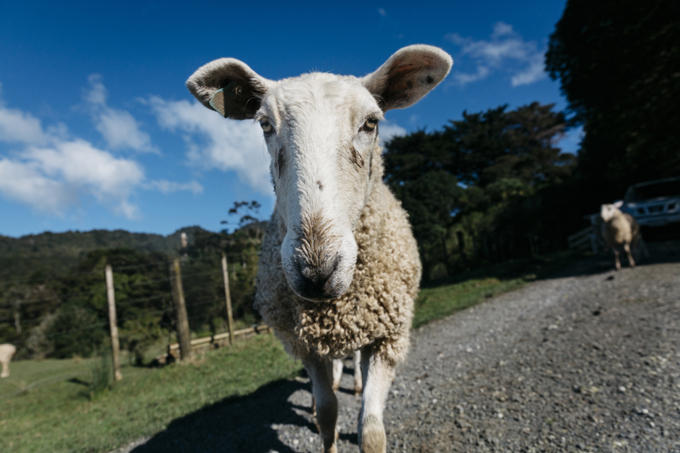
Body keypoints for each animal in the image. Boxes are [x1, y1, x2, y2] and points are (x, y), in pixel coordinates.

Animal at [187, 45, 452, 453]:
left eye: (371, 123)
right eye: (265, 124)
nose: (316, 272)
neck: (332, 305)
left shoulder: (387, 336)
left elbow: (372, 430)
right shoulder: (306, 344)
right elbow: (327, 415)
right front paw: (325, 428)